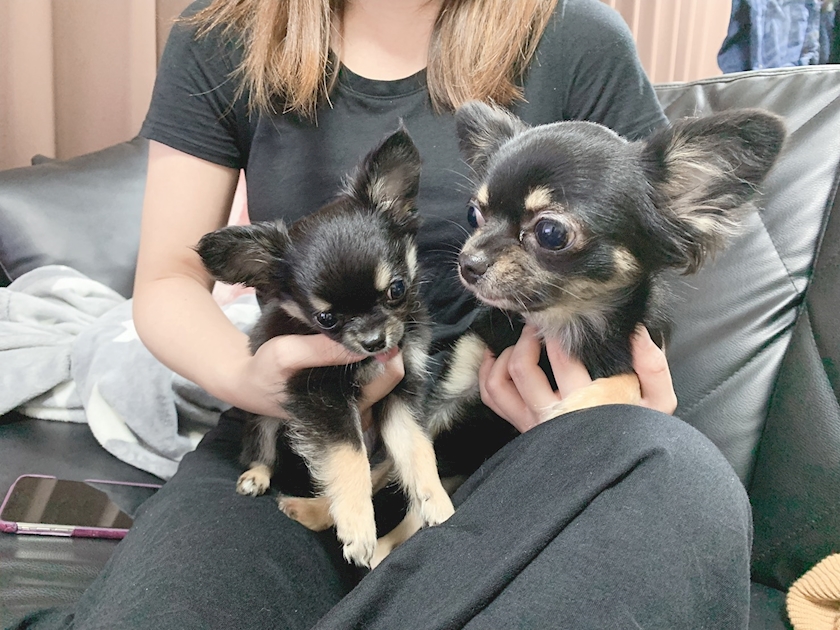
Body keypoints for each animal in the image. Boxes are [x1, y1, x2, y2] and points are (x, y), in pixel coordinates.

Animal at [196, 127, 454, 568]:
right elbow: (349, 457)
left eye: (397, 289)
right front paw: (359, 528)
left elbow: (417, 447)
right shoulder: (319, 396)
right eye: (326, 319)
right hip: (265, 416)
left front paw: (434, 497)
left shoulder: (401, 394)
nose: (374, 340)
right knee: (263, 446)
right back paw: (257, 476)